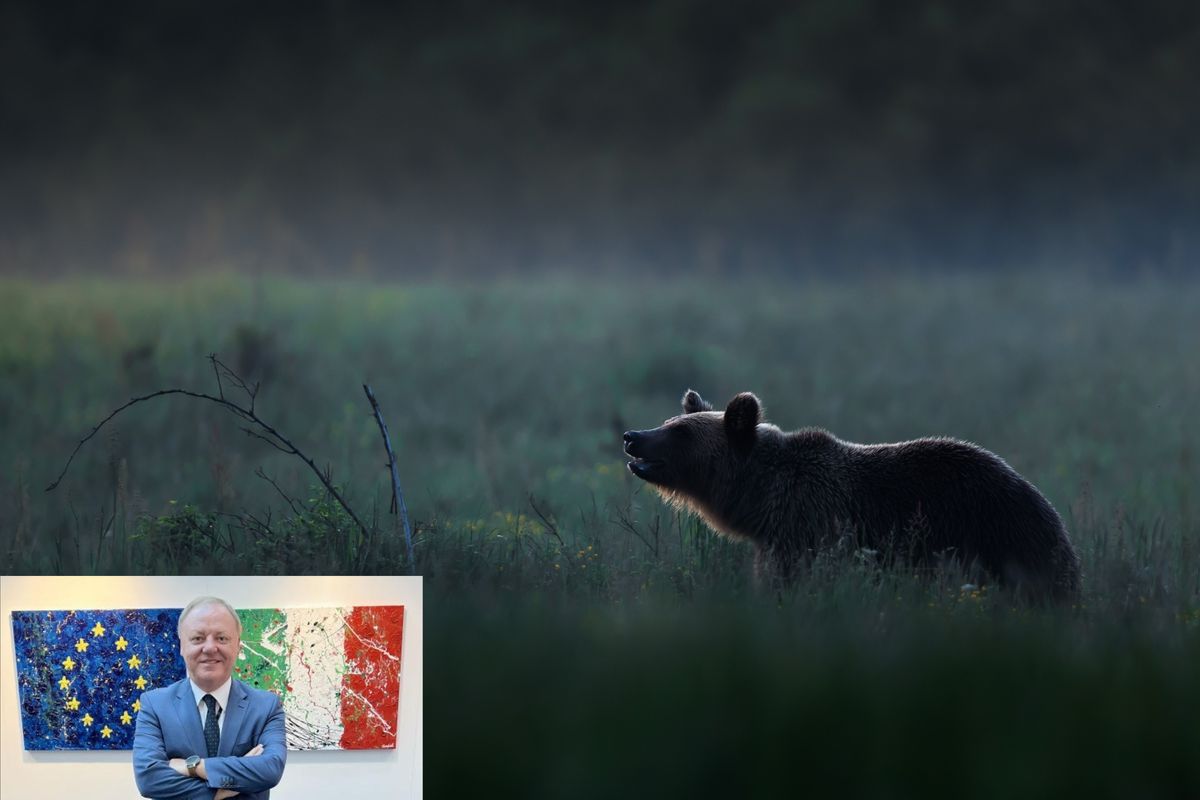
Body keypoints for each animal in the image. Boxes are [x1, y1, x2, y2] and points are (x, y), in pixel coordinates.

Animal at [623, 389, 1081, 602]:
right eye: (669, 421)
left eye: (680, 432)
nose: (632, 436)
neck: (765, 498)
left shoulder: (809, 531)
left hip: (992, 537)